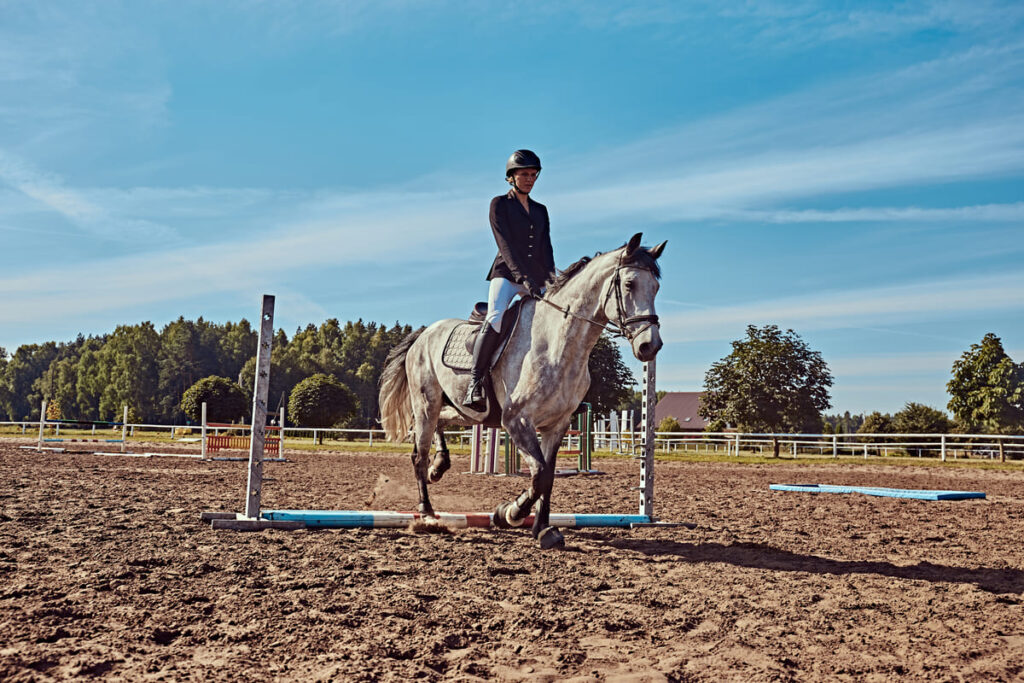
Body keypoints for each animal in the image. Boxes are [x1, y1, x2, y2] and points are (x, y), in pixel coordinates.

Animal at [376, 235, 663, 548]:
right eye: (629, 284)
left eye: (656, 287)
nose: (650, 346)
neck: (558, 344)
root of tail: (424, 333)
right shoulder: (517, 420)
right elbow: (539, 474)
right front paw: (510, 513)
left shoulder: (556, 425)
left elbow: (548, 476)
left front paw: (543, 529)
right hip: (425, 403)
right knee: (419, 453)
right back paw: (427, 512)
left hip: (465, 412)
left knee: (440, 425)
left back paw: (438, 467)